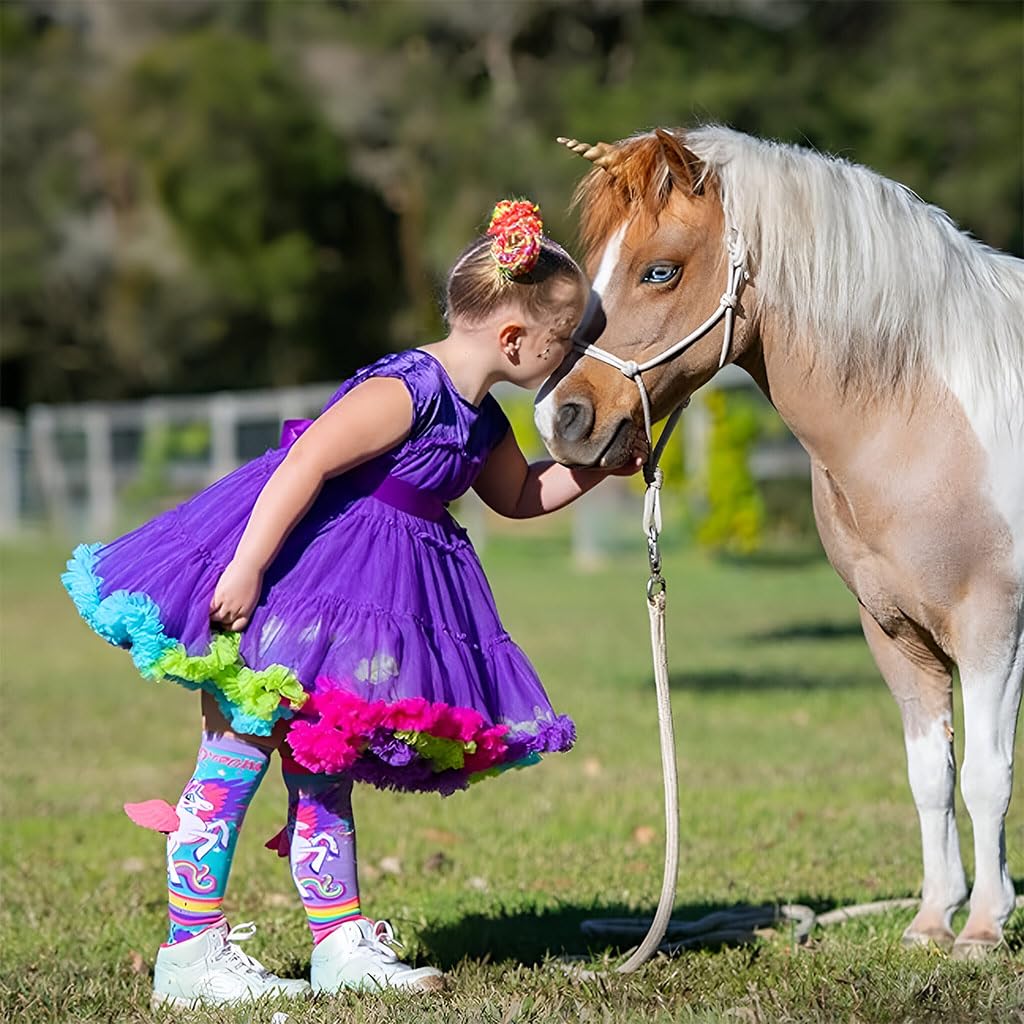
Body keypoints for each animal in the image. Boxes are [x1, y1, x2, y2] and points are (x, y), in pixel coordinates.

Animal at [535, 126, 1023, 958]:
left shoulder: (993, 626)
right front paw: (932, 920)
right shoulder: (895, 633)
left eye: (659, 270)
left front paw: (985, 926)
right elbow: (930, 773)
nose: (559, 419)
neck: (931, 417)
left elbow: (986, 775)